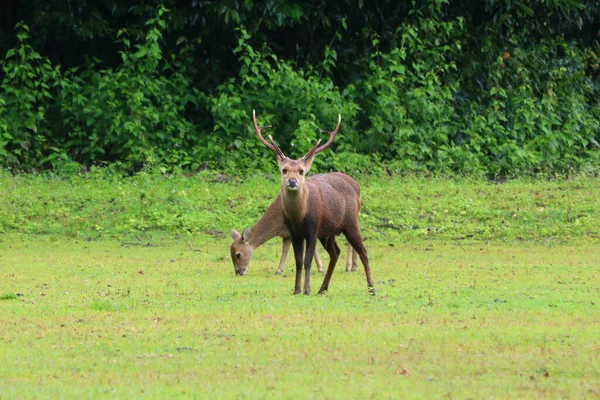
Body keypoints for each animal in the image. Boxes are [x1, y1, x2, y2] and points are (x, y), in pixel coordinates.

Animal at [230, 193, 358, 276]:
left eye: (238, 254)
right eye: (230, 252)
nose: (238, 272)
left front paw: (321, 268)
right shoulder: (286, 234)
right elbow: (285, 250)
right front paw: (279, 270)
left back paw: (349, 267)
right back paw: (354, 266)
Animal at [252, 111, 376, 296]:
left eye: (301, 171)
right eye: (284, 170)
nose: (292, 181)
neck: (298, 217)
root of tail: (356, 190)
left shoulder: (312, 228)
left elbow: (307, 261)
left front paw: (306, 289)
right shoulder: (295, 233)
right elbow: (298, 261)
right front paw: (296, 289)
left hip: (351, 223)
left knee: (364, 252)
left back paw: (372, 289)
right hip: (328, 232)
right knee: (335, 252)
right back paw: (323, 288)